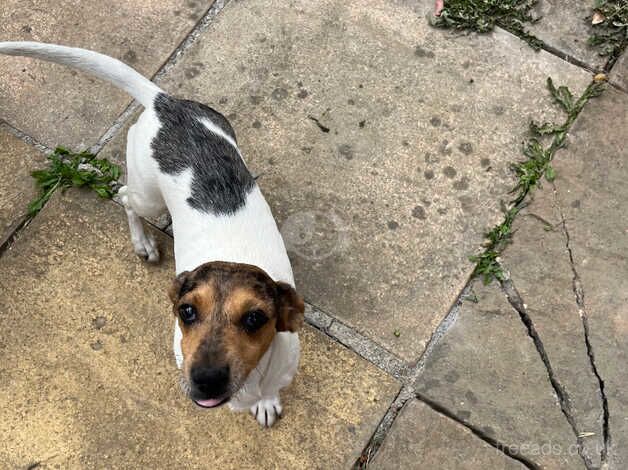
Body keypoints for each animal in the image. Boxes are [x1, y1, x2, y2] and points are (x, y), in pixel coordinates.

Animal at [0, 42, 304, 428]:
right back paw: (142, 242)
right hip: (147, 195)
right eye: (186, 312)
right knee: (125, 198)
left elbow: (271, 391)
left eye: (255, 318)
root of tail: (163, 102)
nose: (205, 380)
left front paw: (266, 403)